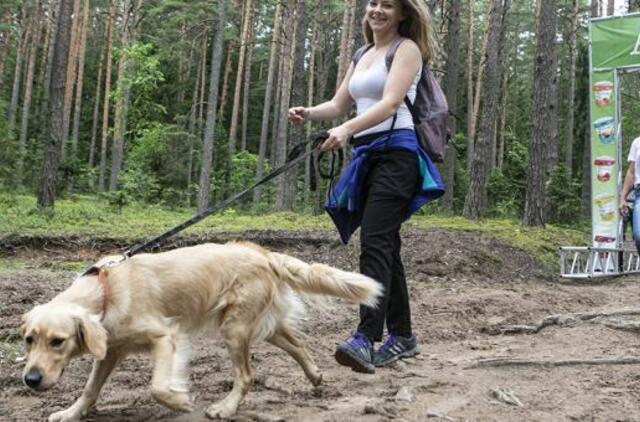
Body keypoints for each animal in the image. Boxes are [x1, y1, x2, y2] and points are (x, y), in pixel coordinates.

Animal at [20, 242, 380, 420]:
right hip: (262, 326)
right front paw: (70, 413)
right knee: (297, 344)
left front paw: (180, 402)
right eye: (28, 340)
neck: (107, 292)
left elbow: (157, 387)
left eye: (58, 341)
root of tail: (262, 252)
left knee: (246, 376)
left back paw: (226, 408)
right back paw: (315, 376)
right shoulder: (110, 351)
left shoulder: (165, 337)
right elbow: (90, 389)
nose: (31, 380)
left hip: (234, 328)